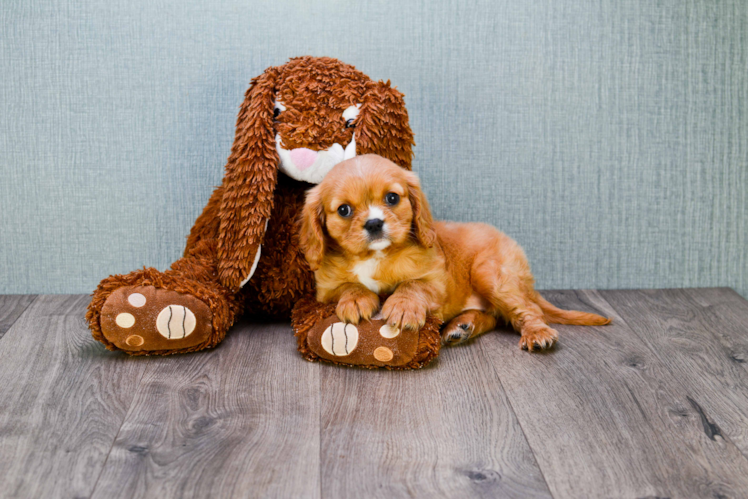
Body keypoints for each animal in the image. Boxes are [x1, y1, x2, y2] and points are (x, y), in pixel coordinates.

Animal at [300, 154, 612, 350]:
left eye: (392, 198)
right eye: (344, 210)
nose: (375, 223)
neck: (375, 257)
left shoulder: (437, 280)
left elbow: (413, 285)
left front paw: (403, 306)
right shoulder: (324, 290)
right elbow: (347, 286)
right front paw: (356, 299)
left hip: (491, 274)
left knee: (529, 310)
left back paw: (537, 333)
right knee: (494, 316)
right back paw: (462, 328)